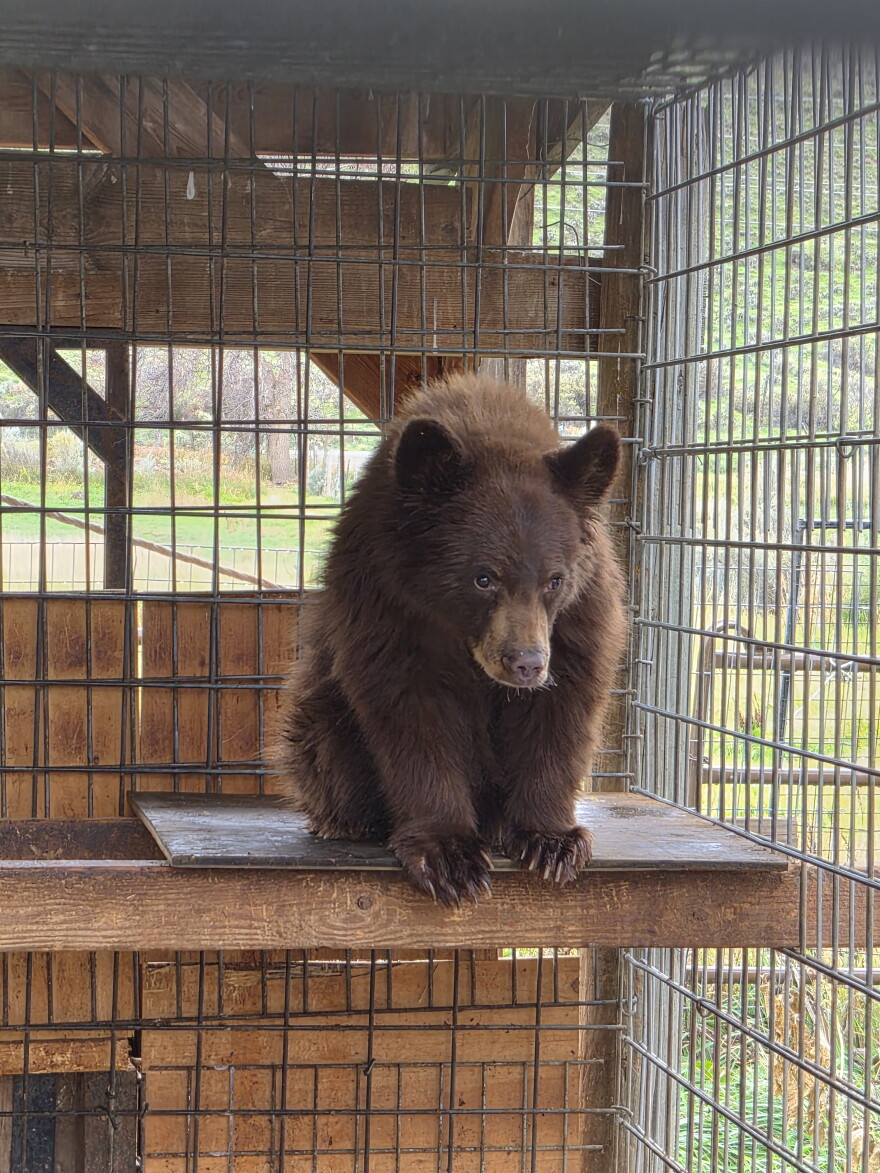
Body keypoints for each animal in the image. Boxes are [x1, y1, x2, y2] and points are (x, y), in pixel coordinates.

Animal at [274, 374, 626, 906]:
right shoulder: (385, 600)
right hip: (319, 719)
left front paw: (551, 842)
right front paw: (448, 855)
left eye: (555, 580)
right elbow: (411, 713)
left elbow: (563, 707)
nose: (526, 664)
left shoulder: (579, 616)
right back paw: (347, 821)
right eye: (483, 578)